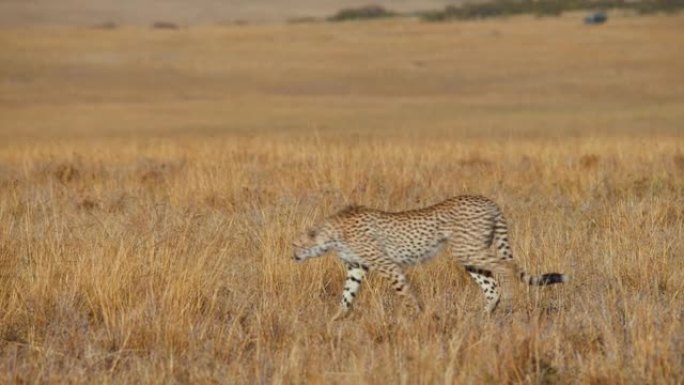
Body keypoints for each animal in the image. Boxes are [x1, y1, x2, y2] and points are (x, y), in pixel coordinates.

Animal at [292, 195, 568, 318]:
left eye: (295, 243)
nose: (292, 255)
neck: (332, 233)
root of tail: (487, 200)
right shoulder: (357, 267)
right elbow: (347, 294)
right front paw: (337, 317)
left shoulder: (387, 265)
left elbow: (403, 291)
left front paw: (417, 314)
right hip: (468, 254)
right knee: (492, 284)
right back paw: (486, 313)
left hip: (467, 249)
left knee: (507, 266)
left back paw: (509, 303)